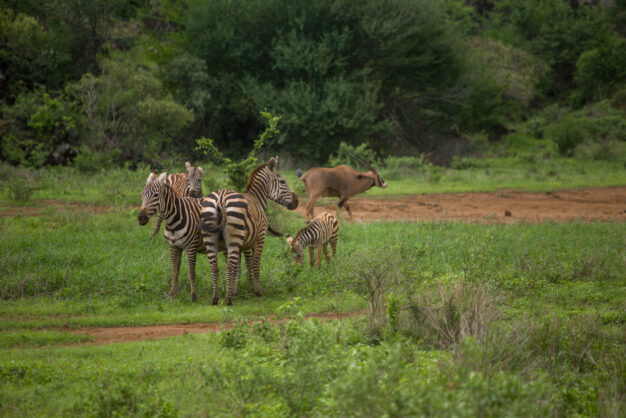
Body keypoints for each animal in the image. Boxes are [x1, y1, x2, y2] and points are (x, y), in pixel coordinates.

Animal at [137, 169, 204, 300]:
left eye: (156, 195)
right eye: (142, 194)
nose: (141, 218)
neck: (173, 222)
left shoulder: (191, 247)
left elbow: (191, 272)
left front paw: (194, 296)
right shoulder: (173, 246)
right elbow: (174, 270)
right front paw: (172, 293)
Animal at [200, 155, 298, 306]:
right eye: (282, 181)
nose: (297, 201)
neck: (257, 198)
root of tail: (221, 198)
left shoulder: (242, 245)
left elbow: (240, 267)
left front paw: (236, 290)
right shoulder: (259, 239)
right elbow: (254, 263)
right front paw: (256, 290)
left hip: (212, 239)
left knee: (215, 268)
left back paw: (215, 298)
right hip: (234, 239)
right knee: (228, 267)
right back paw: (228, 300)